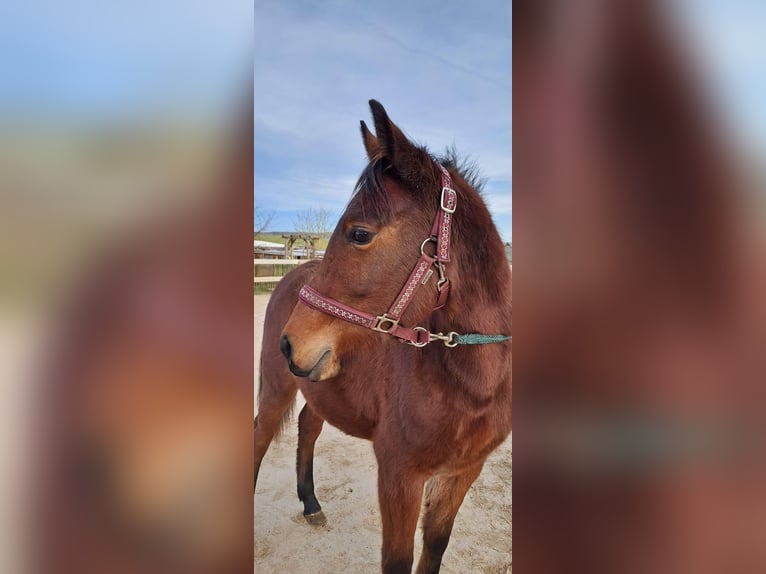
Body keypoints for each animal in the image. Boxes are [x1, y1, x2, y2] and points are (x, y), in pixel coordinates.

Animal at [255, 100, 512, 574]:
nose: (289, 343)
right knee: (259, 439)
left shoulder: (463, 472)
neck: (470, 385)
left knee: (308, 426)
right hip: (277, 389)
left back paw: (311, 503)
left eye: (359, 234)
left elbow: (435, 544)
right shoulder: (399, 476)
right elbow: (397, 560)